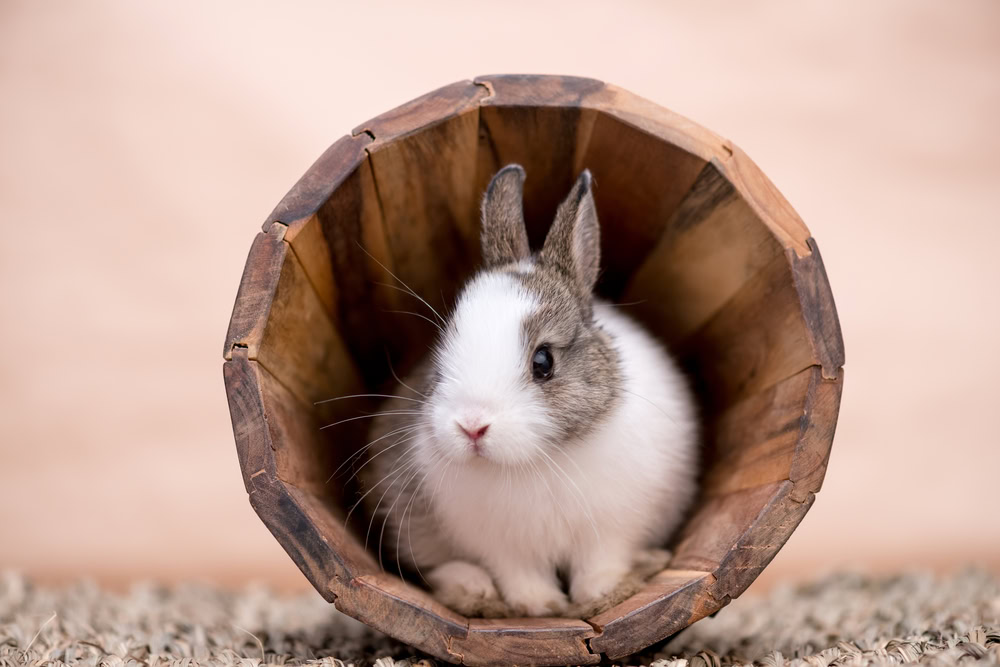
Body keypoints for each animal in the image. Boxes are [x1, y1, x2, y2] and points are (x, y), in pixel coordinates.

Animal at [358, 164, 699, 617]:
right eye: (441, 352)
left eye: (543, 362)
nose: (472, 426)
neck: (534, 461)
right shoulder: (502, 548)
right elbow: (519, 575)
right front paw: (541, 607)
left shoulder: (611, 530)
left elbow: (600, 563)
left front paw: (599, 596)